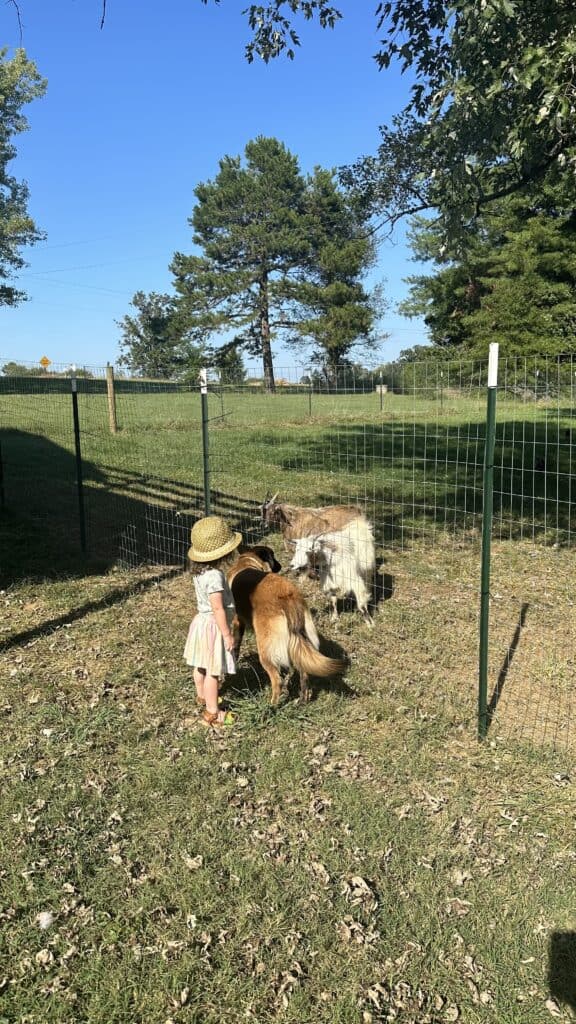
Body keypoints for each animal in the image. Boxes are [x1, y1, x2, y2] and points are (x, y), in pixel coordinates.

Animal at [228, 544, 344, 704]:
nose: (281, 566)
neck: (246, 563)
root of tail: (287, 597)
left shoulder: (237, 622)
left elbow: (236, 645)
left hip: (265, 649)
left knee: (277, 680)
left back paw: (272, 705)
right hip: (300, 643)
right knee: (304, 673)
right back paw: (302, 701)